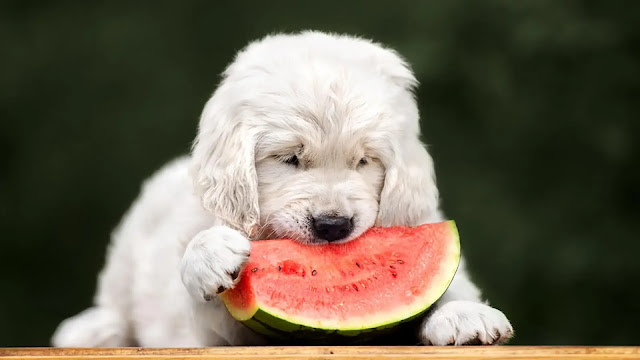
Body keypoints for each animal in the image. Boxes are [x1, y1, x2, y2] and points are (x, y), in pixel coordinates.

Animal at [53, 31, 516, 348]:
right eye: (290, 158)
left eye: (364, 162)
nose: (333, 226)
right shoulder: (216, 332)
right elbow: (203, 295)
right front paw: (209, 253)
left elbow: (451, 285)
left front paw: (463, 315)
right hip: (130, 244)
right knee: (115, 301)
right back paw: (92, 329)